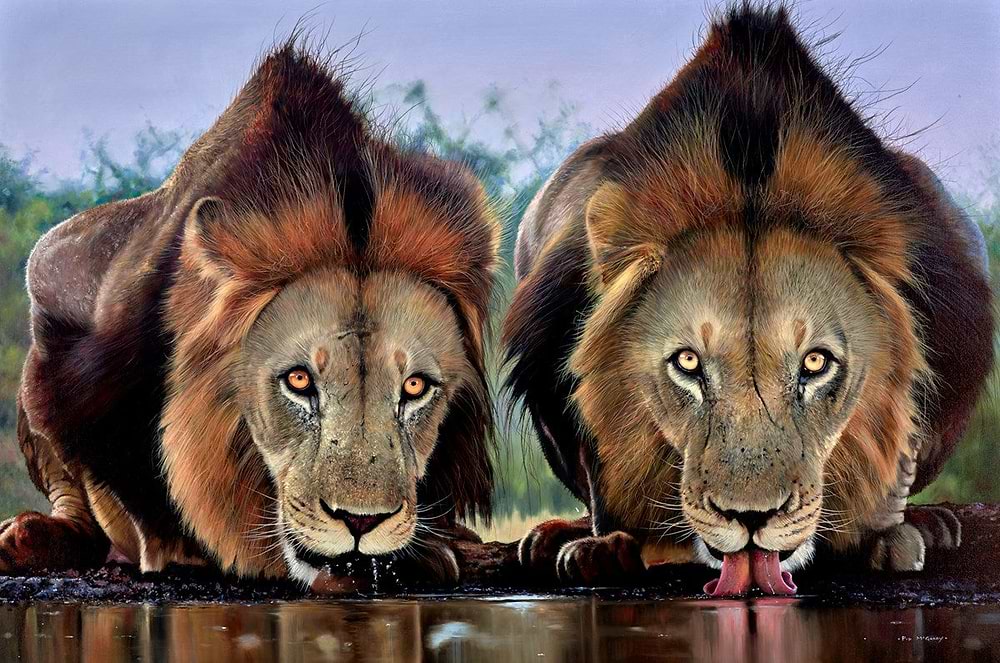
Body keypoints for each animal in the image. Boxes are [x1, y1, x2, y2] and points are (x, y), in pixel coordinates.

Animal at [9, 44, 499, 590]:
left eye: (415, 387)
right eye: (299, 380)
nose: (361, 521)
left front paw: (432, 550)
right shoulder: (71, 385)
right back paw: (28, 535)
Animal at [503, 5, 993, 594]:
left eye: (816, 363)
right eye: (688, 363)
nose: (752, 519)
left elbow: (903, 440)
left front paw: (885, 535)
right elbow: (594, 453)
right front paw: (602, 546)